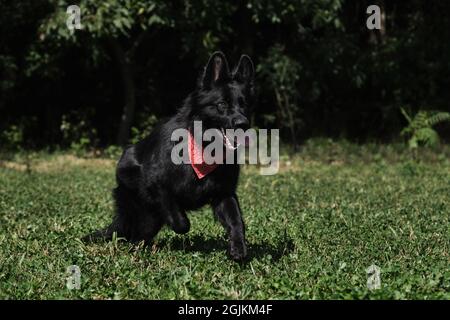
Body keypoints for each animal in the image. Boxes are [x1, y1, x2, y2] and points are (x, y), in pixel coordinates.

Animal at [84, 50, 253, 260]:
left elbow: (236, 221)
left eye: (244, 105)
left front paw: (238, 247)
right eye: (222, 104)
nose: (243, 123)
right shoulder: (155, 183)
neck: (202, 147)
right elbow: (181, 221)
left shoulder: (224, 193)